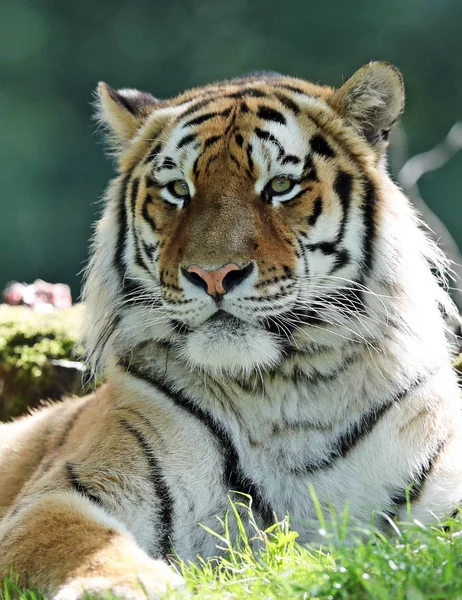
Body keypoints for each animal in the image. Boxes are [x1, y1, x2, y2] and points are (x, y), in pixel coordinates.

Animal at [0, 62, 462, 600]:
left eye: (280, 185)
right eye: (178, 190)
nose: (214, 274)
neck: (285, 394)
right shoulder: (61, 493)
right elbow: (83, 542)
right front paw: (133, 586)